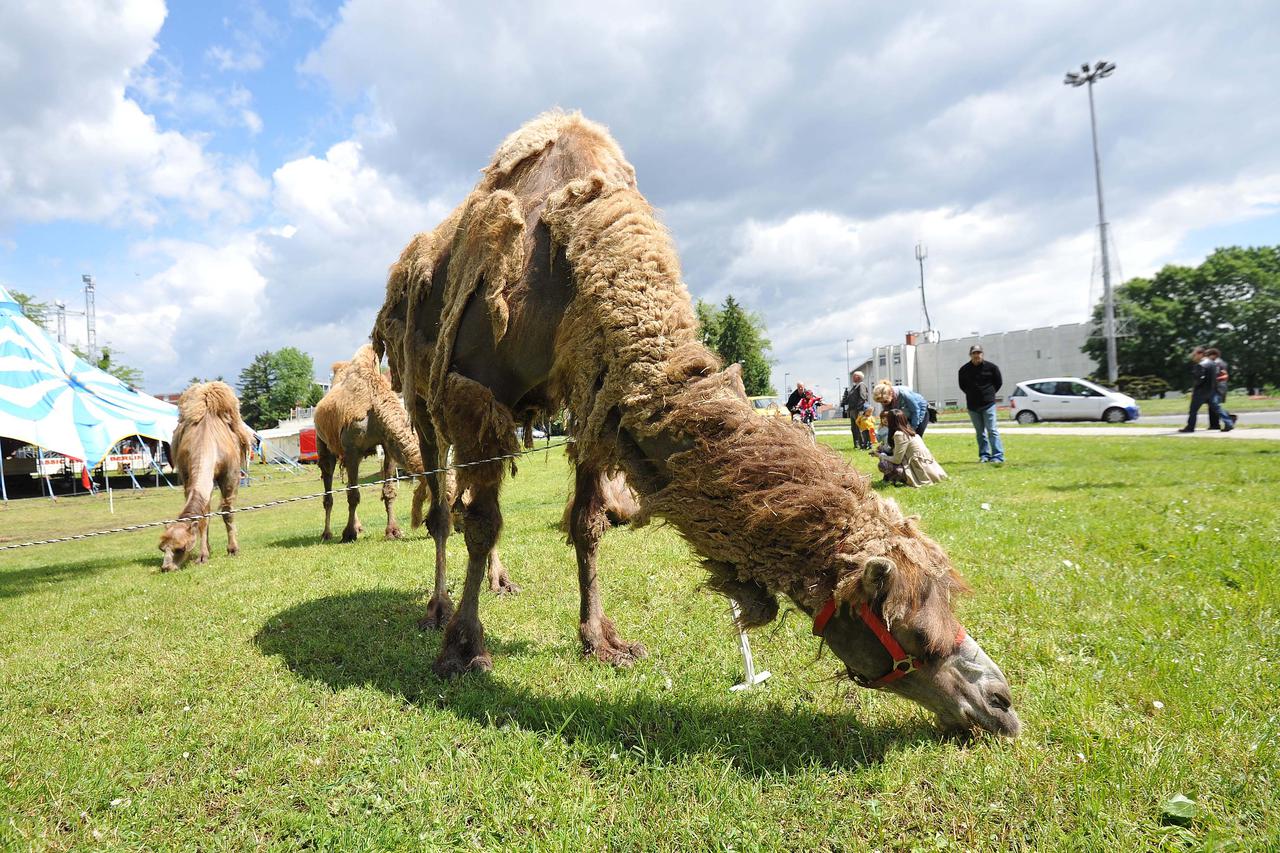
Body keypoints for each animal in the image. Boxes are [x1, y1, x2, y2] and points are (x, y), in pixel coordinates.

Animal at [157, 379, 252, 568]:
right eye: (162, 548)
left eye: (181, 548)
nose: (166, 567)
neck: (206, 441)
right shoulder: (188, 476)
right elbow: (204, 516)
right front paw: (203, 554)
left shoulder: (230, 476)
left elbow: (227, 512)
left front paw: (233, 549)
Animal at [373, 111, 1018, 737]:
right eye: (910, 628)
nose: (1001, 703)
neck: (572, 263)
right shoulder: (478, 393)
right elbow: (482, 524)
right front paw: (464, 649)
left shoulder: (594, 389)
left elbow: (586, 524)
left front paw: (601, 640)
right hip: (422, 396)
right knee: (444, 507)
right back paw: (437, 608)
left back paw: (499, 583)